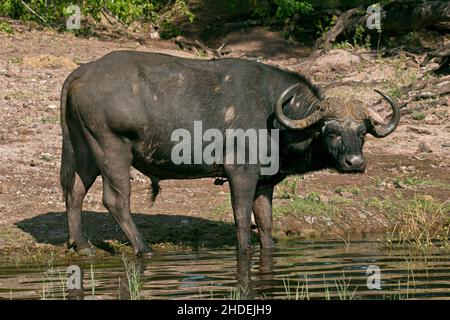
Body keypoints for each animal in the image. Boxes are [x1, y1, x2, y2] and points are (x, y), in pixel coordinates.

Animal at [59, 50, 398, 255]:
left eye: (362, 132)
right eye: (330, 130)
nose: (355, 162)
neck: (278, 117)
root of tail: (82, 72)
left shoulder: (265, 182)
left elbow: (265, 221)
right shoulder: (241, 173)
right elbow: (241, 216)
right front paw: (244, 250)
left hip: (85, 149)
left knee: (74, 191)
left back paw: (82, 244)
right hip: (111, 148)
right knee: (115, 200)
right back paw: (145, 249)